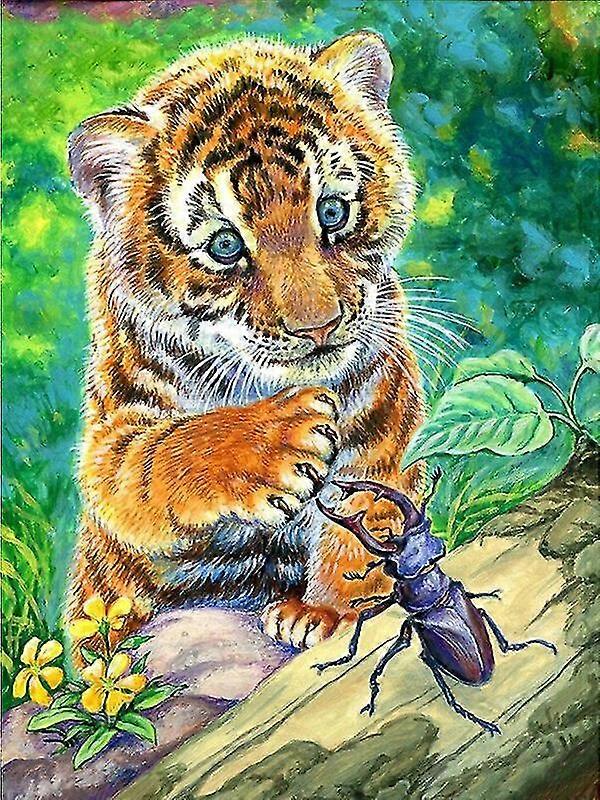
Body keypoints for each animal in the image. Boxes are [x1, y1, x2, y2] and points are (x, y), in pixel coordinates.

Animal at [66, 31, 425, 651]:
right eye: (225, 245)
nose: (318, 326)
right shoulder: (109, 438)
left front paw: (325, 611)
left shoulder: (385, 408)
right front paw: (281, 439)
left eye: (332, 211)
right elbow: (164, 451)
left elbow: (366, 516)